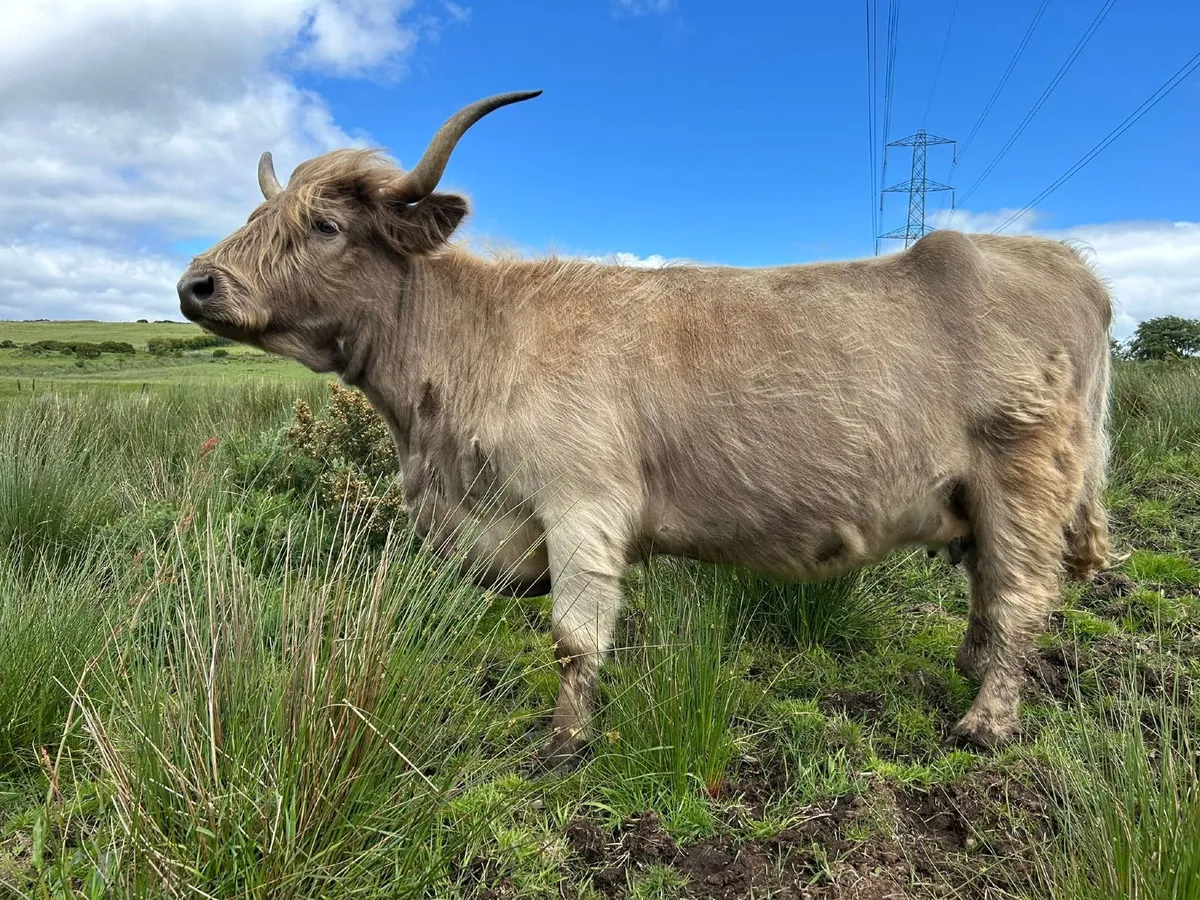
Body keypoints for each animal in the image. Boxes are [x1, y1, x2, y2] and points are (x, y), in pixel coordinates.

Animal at [177, 90, 1113, 767]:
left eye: (326, 226)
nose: (197, 285)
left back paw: (986, 721)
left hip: (1027, 481)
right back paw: (969, 668)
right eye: (258, 219)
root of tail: (1065, 263)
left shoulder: (581, 507)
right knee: (988, 589)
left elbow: (572, 641)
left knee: (1021, 598)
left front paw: (565, 741)